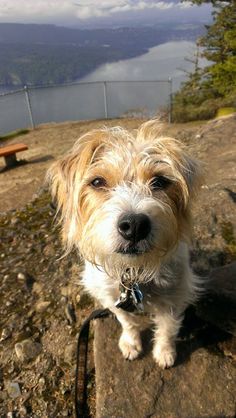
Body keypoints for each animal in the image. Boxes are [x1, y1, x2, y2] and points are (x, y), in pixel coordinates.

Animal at [47, 119, 201, 368]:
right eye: (97, 181)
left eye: (160, 181)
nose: (135, 225)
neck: (132, 274)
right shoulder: (110, 296)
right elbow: (126, 320)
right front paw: (131, 343)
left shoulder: (175, 295)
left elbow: (167, 327)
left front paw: (164, 351)